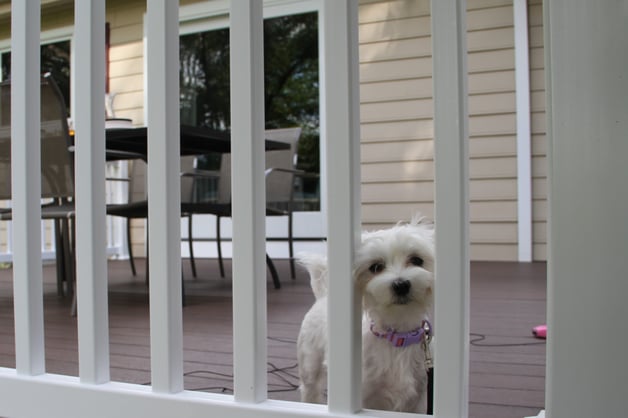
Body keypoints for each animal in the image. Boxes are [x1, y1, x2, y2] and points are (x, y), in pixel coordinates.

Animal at [296, 217, 434, 414]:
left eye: (417, 260)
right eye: (375, 267)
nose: (401, 284)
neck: (397, 337)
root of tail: (323, 295)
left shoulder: (419, 399)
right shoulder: (365, 394)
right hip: (310, 366)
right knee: (310, 390)